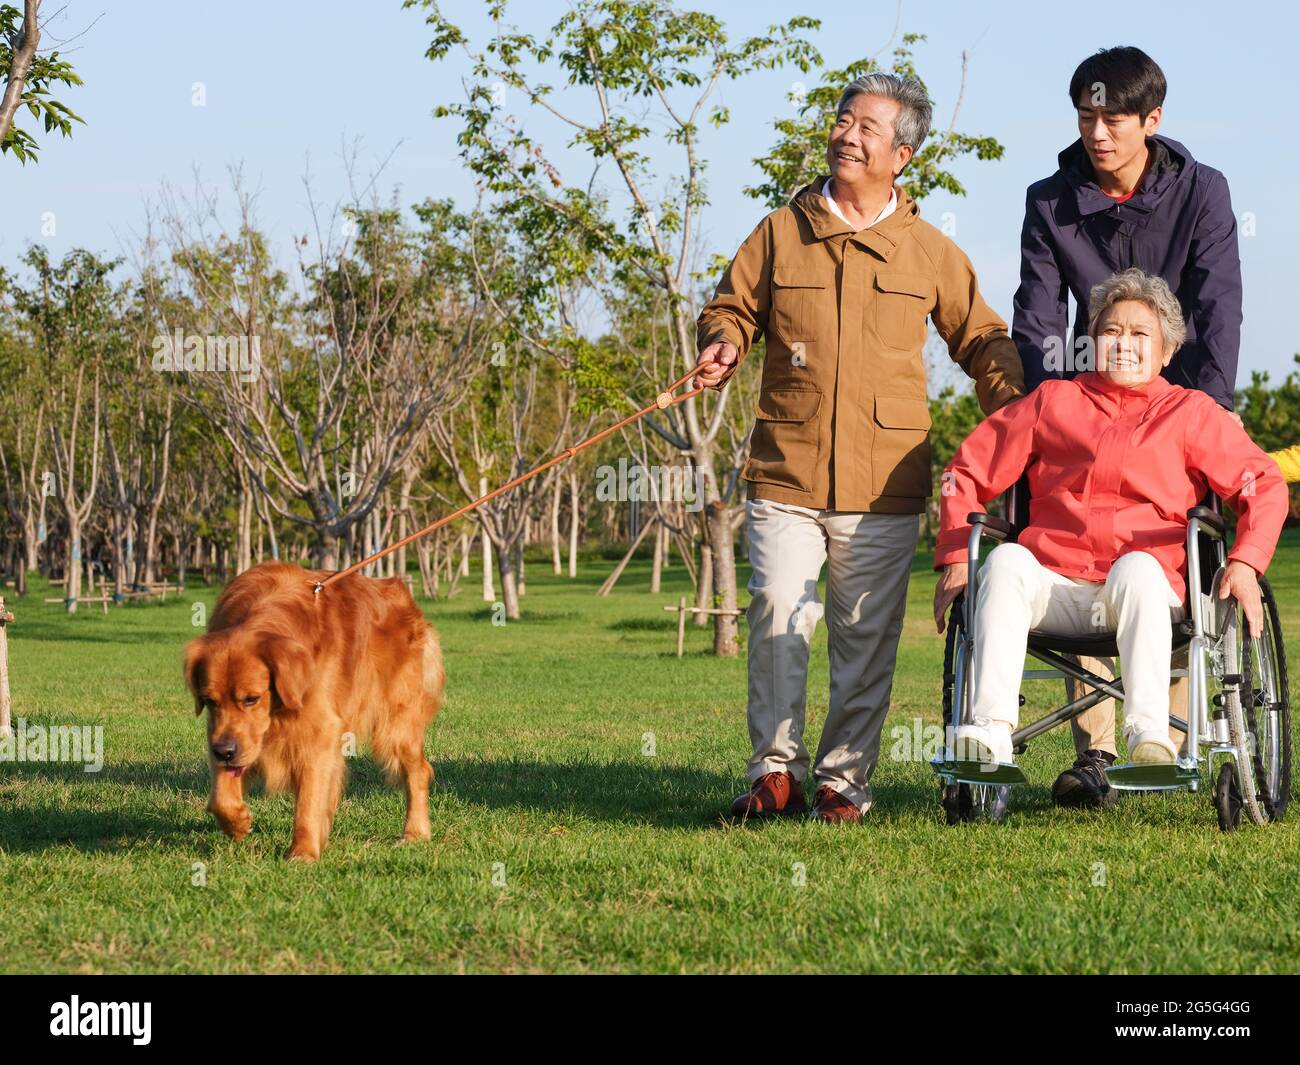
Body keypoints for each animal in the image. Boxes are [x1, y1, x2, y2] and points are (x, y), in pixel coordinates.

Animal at [180, 561, 447, 863]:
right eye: (210, 701)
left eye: (252, 699)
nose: (225, 752)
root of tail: (406, 599)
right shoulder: (222, 733)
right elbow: (221, 793)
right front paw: (236, 822)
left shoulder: (319, 732)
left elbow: (308, 800)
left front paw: (303, 852)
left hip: (396, 727)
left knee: (418, 772)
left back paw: (415, 832)